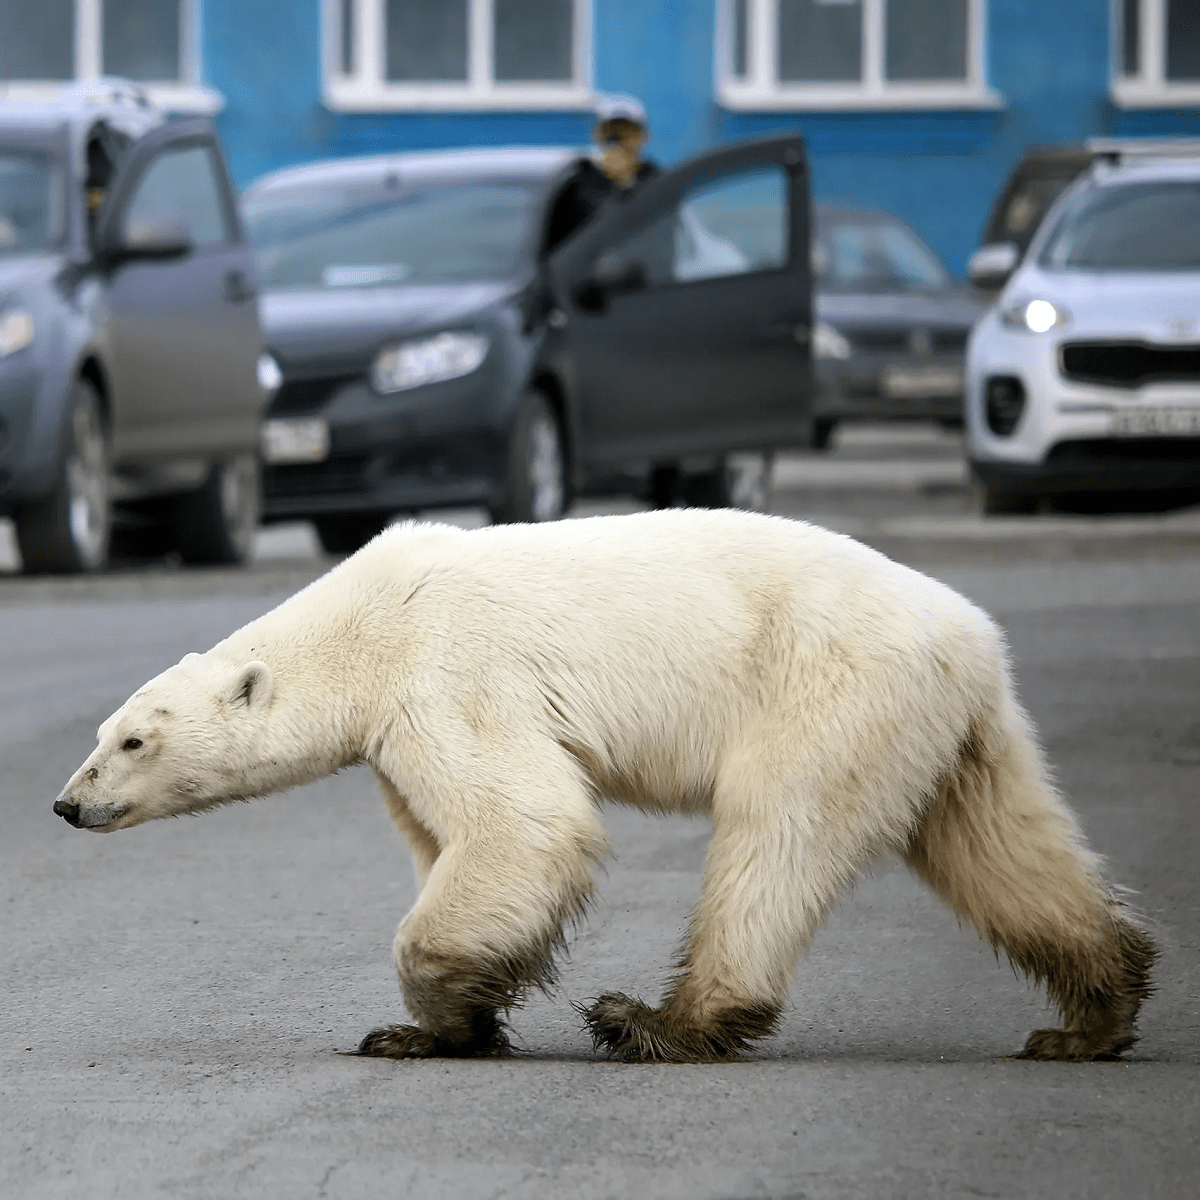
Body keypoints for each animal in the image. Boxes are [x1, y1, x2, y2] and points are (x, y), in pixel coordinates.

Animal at [54, 506, 1152, 1060]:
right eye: (102, 734)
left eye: (134, 742)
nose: (68, 802)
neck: (362, 623)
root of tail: (973, 637)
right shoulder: (399, 730)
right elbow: (446, 838)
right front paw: (445, 1023)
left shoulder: (447, 675)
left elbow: (524, 821)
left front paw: (433, 1016)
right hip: (950, 727)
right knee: (1000, 845)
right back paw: (1090, 1017)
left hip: (828, 686)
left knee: (774, 832)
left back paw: (660, 1021)